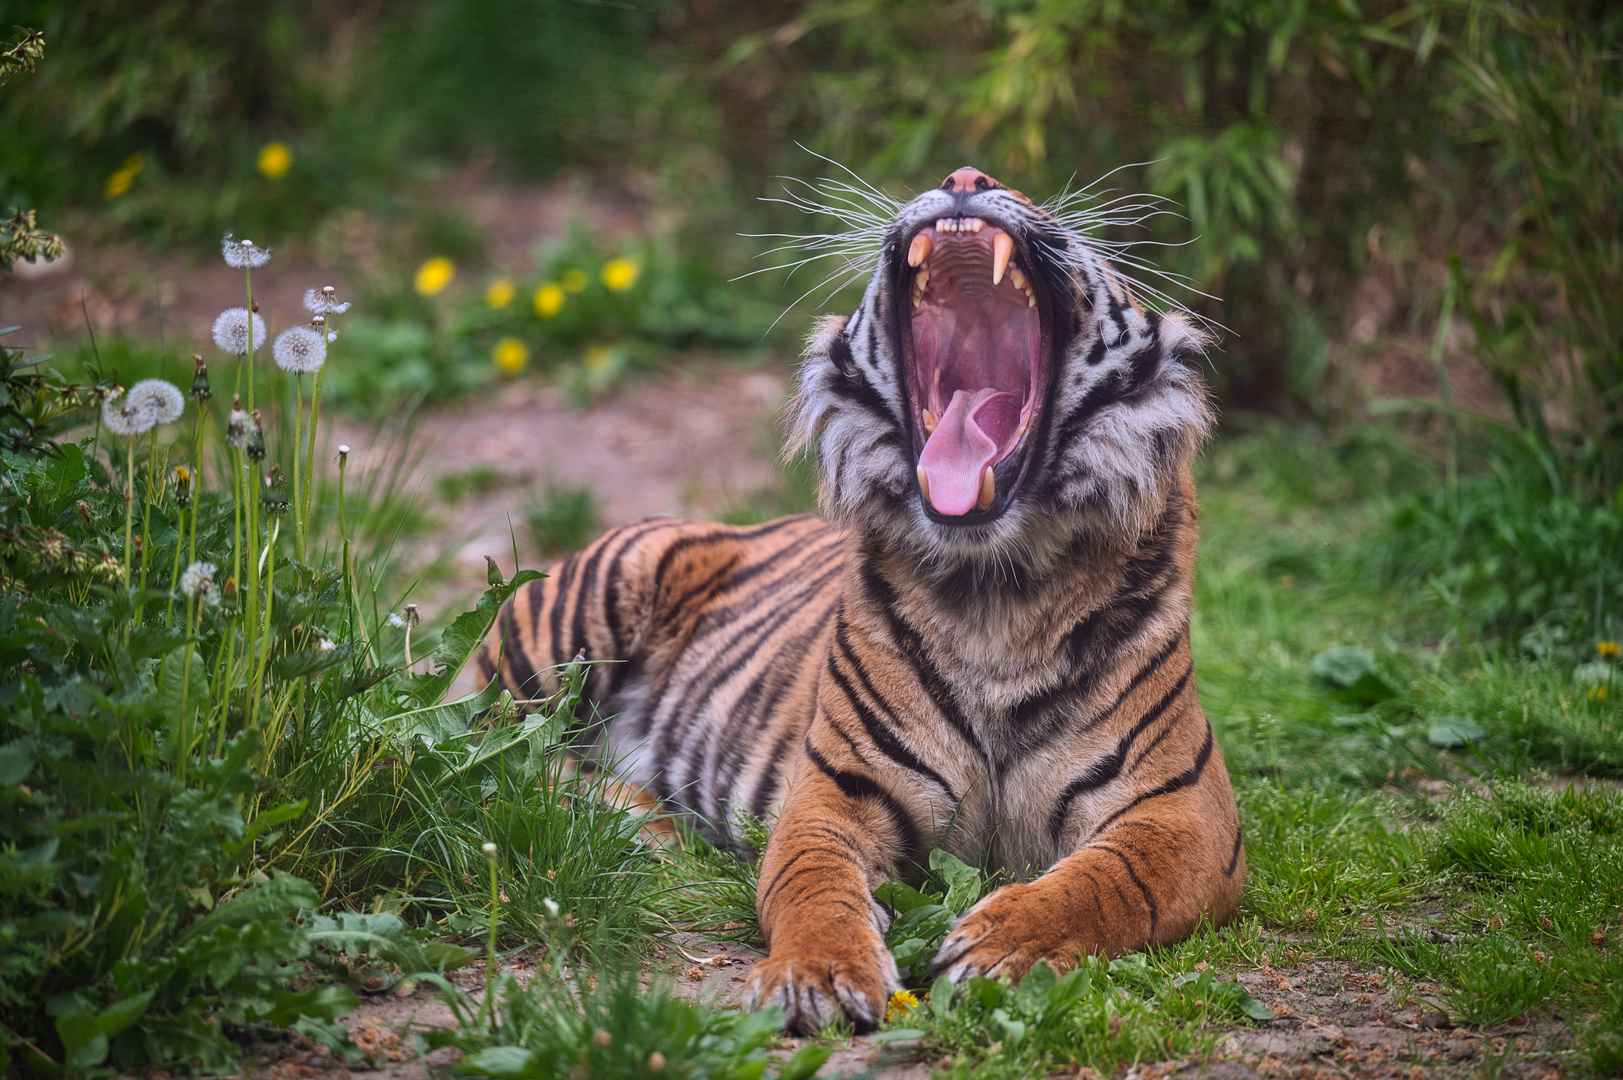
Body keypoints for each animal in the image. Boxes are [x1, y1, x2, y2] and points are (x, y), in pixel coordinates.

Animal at [473, 166, 1246, 1026]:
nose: (965, 176)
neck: (997, 592)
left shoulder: (1182, 813)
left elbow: (1101, 883)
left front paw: (999, 944)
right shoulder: (831, 794)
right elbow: (813, 886)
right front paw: (817, 974)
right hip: (575, 623)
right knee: (492, 754)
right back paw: (646, 824)